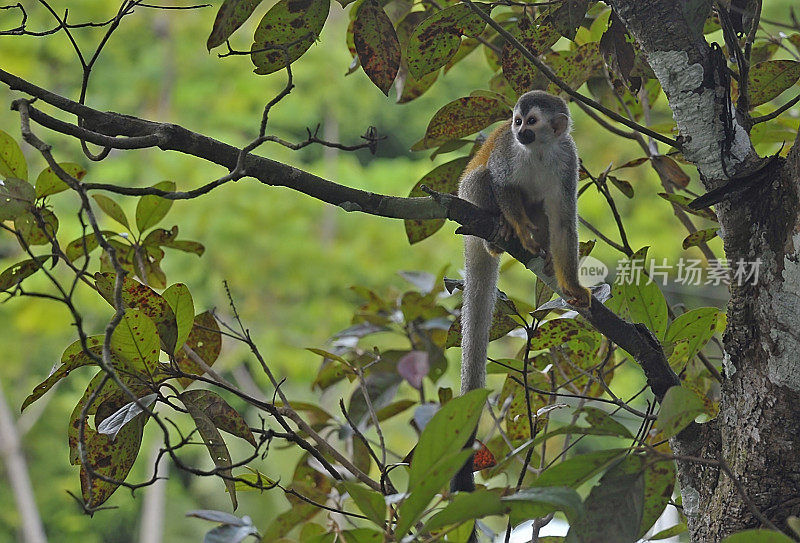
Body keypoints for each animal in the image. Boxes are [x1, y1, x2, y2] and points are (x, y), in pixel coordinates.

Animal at [454, 91, 592, 496]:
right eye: (516, 121)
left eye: (531, 122)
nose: (519, 133)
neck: (539, 150)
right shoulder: (506, 151)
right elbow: (502, 184)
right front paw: (519, 228)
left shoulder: (567, 161)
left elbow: (563, 221)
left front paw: (572, 286)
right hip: (466, 197)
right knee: (481, 177)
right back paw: (498, 234)